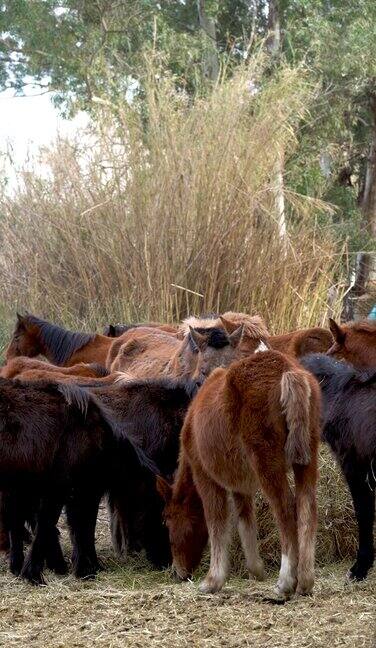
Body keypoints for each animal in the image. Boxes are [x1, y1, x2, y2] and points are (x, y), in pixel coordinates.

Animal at [158, 350, 320, 596]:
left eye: (167, 521)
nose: (178, 573)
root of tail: (289, 372)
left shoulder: (205, 476)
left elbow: (216, 523)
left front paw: (213, 580)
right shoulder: (239, 485)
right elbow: (246, 522)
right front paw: (256, 570)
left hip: (267, 464)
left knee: (285, 510)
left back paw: (285, 581)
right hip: (306, 460)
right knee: (306, 509)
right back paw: (305, 581)